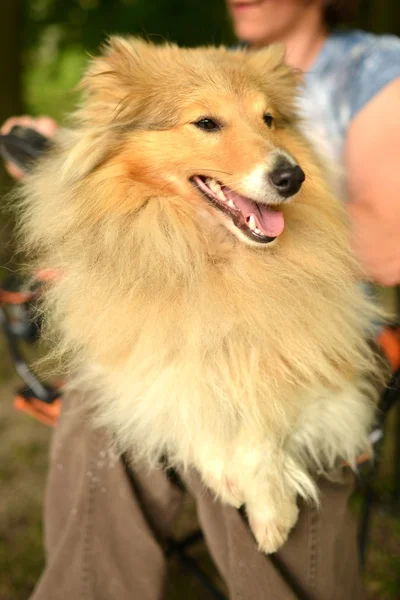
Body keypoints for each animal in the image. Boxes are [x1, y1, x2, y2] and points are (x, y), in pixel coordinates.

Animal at [18, 37, 382, 552]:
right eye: (206, 123)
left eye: (269, 119)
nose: (293, 178)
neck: (207, 255)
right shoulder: (139, 362)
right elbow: (185, 399)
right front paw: (225, 474)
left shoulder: (310, 354)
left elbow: (263, 419)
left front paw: (271, 509)